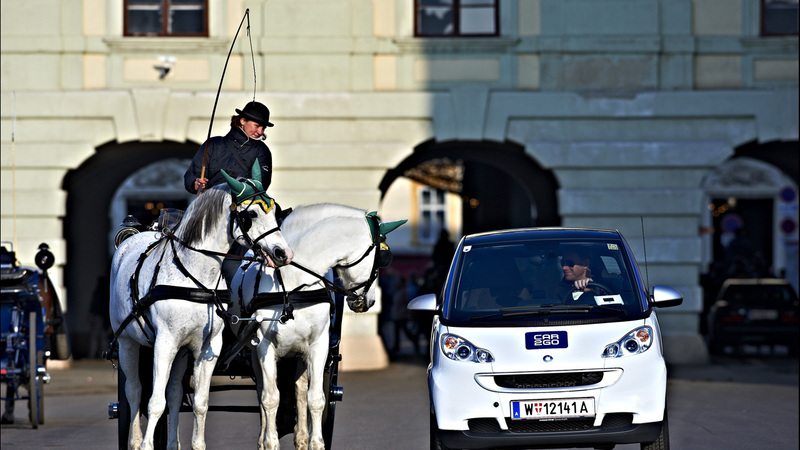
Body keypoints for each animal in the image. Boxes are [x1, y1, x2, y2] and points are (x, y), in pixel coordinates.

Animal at [108, 163, 290, 450]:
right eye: (251, 213)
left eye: (275, 211)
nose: (283, 253)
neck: (194, 275)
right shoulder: (164, 343)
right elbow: (154, 402)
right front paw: (147, 444)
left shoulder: (207, 347)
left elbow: (199, 404)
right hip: (128, 342)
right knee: (135, 391)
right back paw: (136, 441)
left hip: (181, 352)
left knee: (174, 393)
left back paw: (172, 443)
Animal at [230, 204, 406, 450]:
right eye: (382, 258)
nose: (369, 301)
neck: (292, 285)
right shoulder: (265, 346)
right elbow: (270, 398)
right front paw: (270, 441)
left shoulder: (318, 345)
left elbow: (315, 398)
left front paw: (316, 442)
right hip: (257, 353)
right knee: (262, 393)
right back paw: (264, 438)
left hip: (298, 355)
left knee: (300, 391)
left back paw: (302, 437)